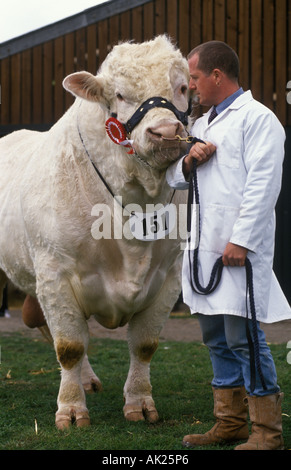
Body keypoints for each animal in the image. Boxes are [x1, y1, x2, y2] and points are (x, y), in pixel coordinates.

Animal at [0, 35, 189, 428]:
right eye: (118, 94)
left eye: (182, 87)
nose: (166, 133)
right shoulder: (54, 271)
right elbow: (69, 345)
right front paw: (71, 410)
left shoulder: (170, 273)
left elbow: (144, 344)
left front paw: (139, 402)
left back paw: (87, 379)